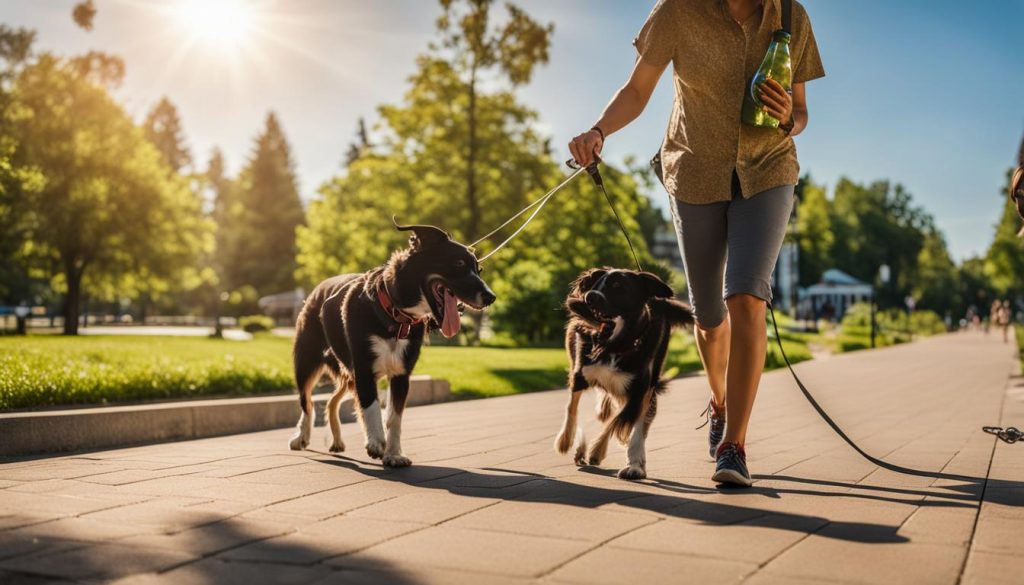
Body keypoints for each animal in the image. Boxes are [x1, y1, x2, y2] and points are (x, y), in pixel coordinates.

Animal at [288, 222, 495, 469]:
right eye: (458, 264)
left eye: (479, 269)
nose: (491, 297)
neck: (395, 316)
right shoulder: (364, 370)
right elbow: (371, 407)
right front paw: (377, 442)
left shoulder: (400, 375)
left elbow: (394, 417)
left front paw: (394, 454)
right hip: (307, 361)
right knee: (306, 401)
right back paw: (301, 437)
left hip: (347, 372)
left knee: (331, 402)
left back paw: (337, 441)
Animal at [552, 270, 696, 481]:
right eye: (597, 283)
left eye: (618, 287)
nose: (590, 297)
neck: (615, 345)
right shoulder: (580, 374)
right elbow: (572, 408)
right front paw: (566, 440)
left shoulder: (640, 391)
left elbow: (622, 423)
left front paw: (627, 462)